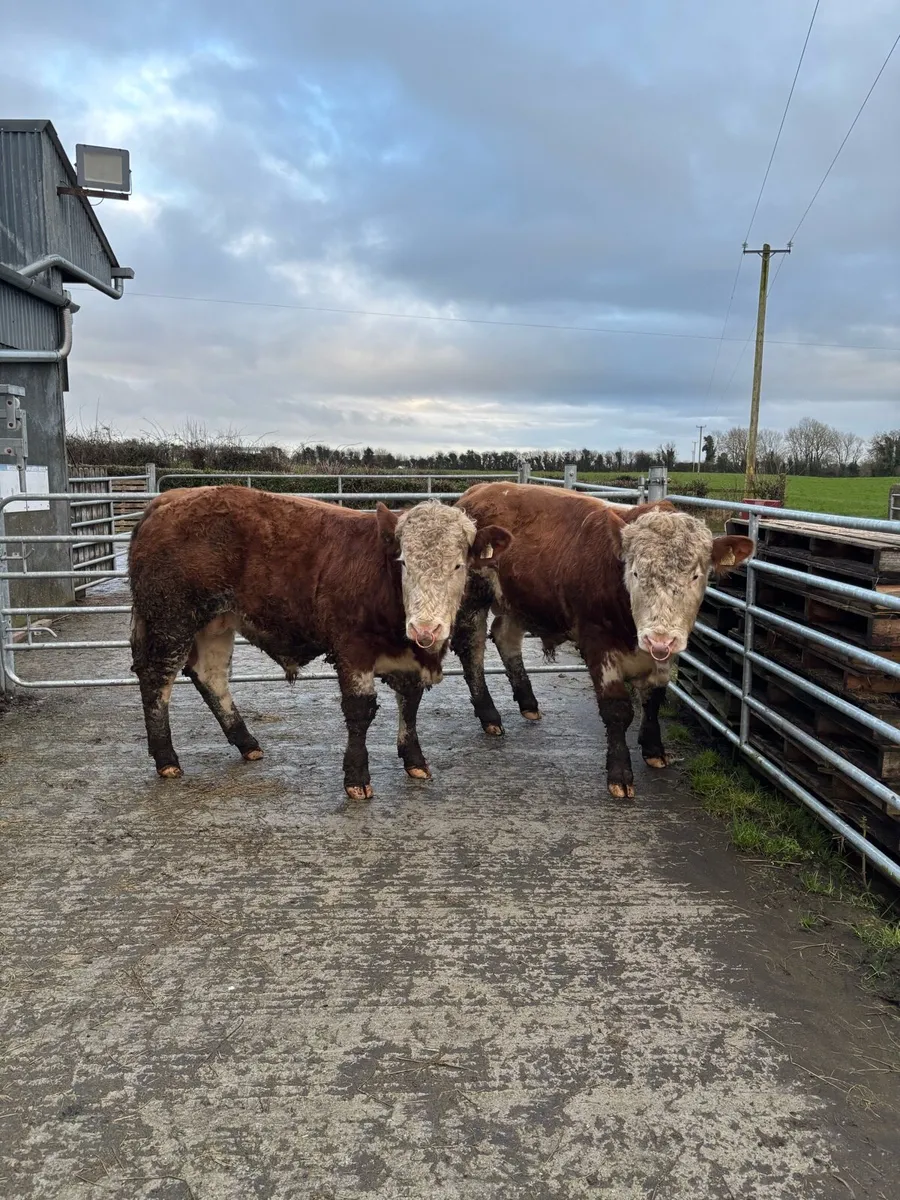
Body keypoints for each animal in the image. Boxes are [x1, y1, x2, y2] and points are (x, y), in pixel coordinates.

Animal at [128, 486, 511, 799]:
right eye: (403, 562)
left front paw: (414, 760)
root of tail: (167, 500)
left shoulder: (410, 658)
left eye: (459, 565)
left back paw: (246, 742)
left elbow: (410, 705)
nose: (425, 628)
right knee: (156, 679)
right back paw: (166, 758)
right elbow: (360, 710)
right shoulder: (352, 649)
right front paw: (356, 778)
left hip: (216, 622)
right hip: (170, 619)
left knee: (210, 675)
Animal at [452, 483, 753, 799]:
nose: (658, 638)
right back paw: (489, 715)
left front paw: (654, 750)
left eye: (695, 575)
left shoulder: (664, 656)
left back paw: (528, 703)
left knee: (505, 637)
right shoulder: (598, 642)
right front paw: (620, 774)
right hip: (473, 596)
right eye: (635, 572)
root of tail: (479, 490)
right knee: (471, 649)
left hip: (519, 600)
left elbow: (654, 699)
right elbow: (617, 709)